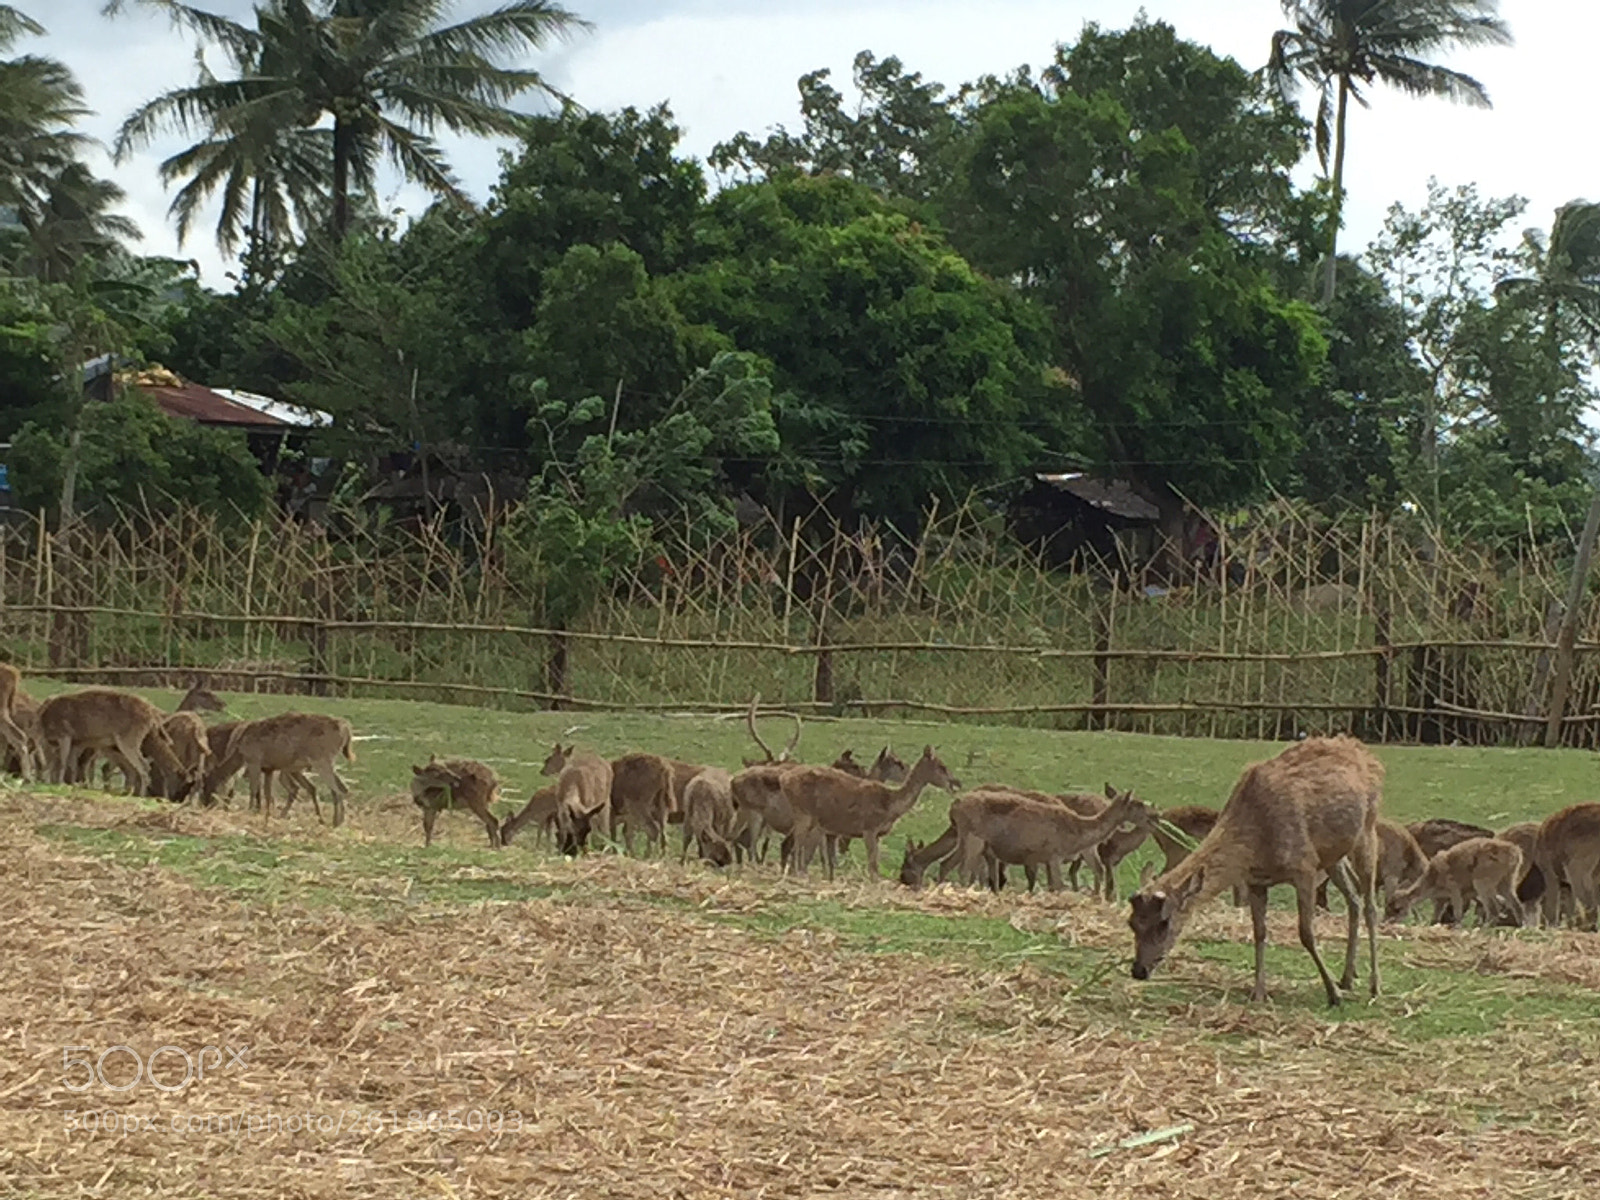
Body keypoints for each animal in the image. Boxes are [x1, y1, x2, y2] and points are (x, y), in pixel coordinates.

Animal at [35, 688, 185, 796]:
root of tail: (151, 715)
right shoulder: (78, 742)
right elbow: (72, 764)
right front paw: (73, 784)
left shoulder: (65, 735)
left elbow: (63, 761)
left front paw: (60, 784)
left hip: (128, 739)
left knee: (142, 765)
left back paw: (139, 794)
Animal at [224, 712, 355, 826]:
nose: (224, 806)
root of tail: (346, 729)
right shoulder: (268, 769)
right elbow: (267, 792)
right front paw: (265, 814)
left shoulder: (254, 761)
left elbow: (254, 789)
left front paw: (250, 811)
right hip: (318, 764)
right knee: (342, 788)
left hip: (321, 760)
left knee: (336, 790)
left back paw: (336, 822)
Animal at [780, 745, 961, 880]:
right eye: (941, 766)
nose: (956, 782)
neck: (891, 806)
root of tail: (784, 779)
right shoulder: (869, 828)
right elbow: (872, 866)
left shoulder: (877, 835)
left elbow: (874, 864)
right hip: (803, 813)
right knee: (797, 845)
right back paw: (798, 875)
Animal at [1128, 736, 1383, 1008]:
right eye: (1131, 923)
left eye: (1163, 923)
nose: (1138, 970)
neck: (1256, 845)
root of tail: (1367, 754)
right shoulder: (1256, 881)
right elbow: (1259, 932)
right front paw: (1258, 992)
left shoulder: (1303, 867)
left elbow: (1306, 933)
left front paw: (1333, 994)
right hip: (1333, 855)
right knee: (1353, 898)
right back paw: (1348, 977)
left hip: (1367, 830)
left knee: (1370, 905)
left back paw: (1374, 985)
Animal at [1385, 837, 1526, 928]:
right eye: (1387, 908)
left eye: (1398, 908)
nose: (1386, 923)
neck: (1433, 880)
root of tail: (1515, 852)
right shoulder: (1443, 899)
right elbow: (1435, 918)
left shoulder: (1455, 890)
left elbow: (1458, 914)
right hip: (1506, 881)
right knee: (1516, 905)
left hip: (1482, 882)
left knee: (1494, 909)